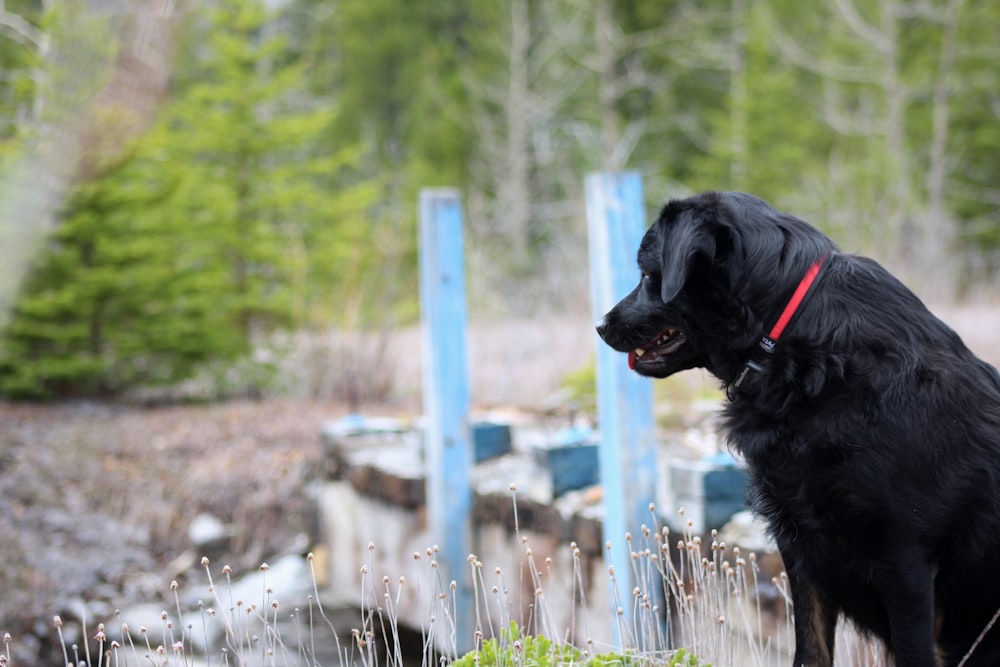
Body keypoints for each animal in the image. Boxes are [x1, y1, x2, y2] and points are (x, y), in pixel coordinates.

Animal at [592, 192, 1000, 667]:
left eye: (646, 275)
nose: (600, 326)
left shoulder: (906, 558)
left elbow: (912, 650)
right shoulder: (802, 545)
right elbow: (810, 648)